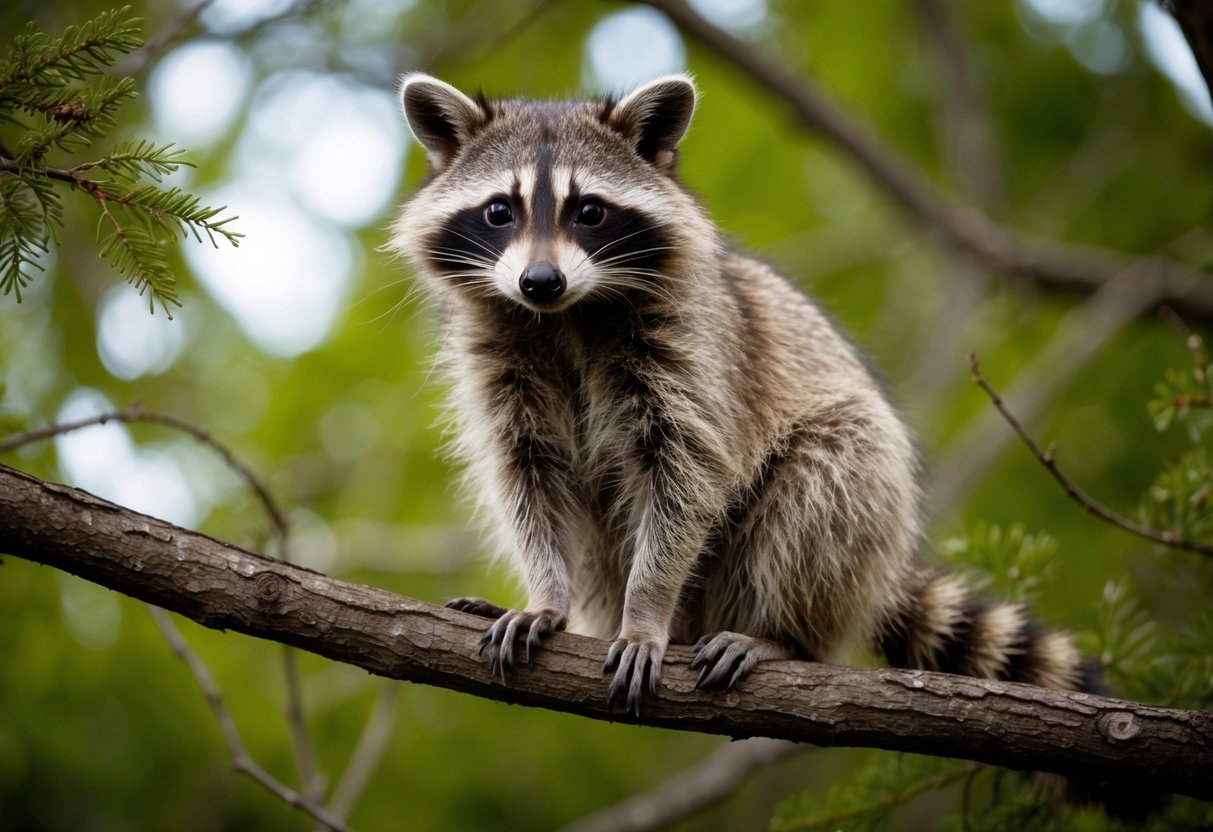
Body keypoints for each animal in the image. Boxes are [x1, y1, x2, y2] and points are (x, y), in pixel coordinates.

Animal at [388, 73, 1093, 716]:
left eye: (588, 211)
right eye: (499, 211)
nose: (540, 281)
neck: (565, 316)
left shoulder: (695, 352)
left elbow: (685, 478)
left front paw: (645, 613)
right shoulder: (500, 361)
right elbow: (527, 475)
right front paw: (546, 595)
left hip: (850, 517)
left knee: (834, 471)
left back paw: (783, 635)